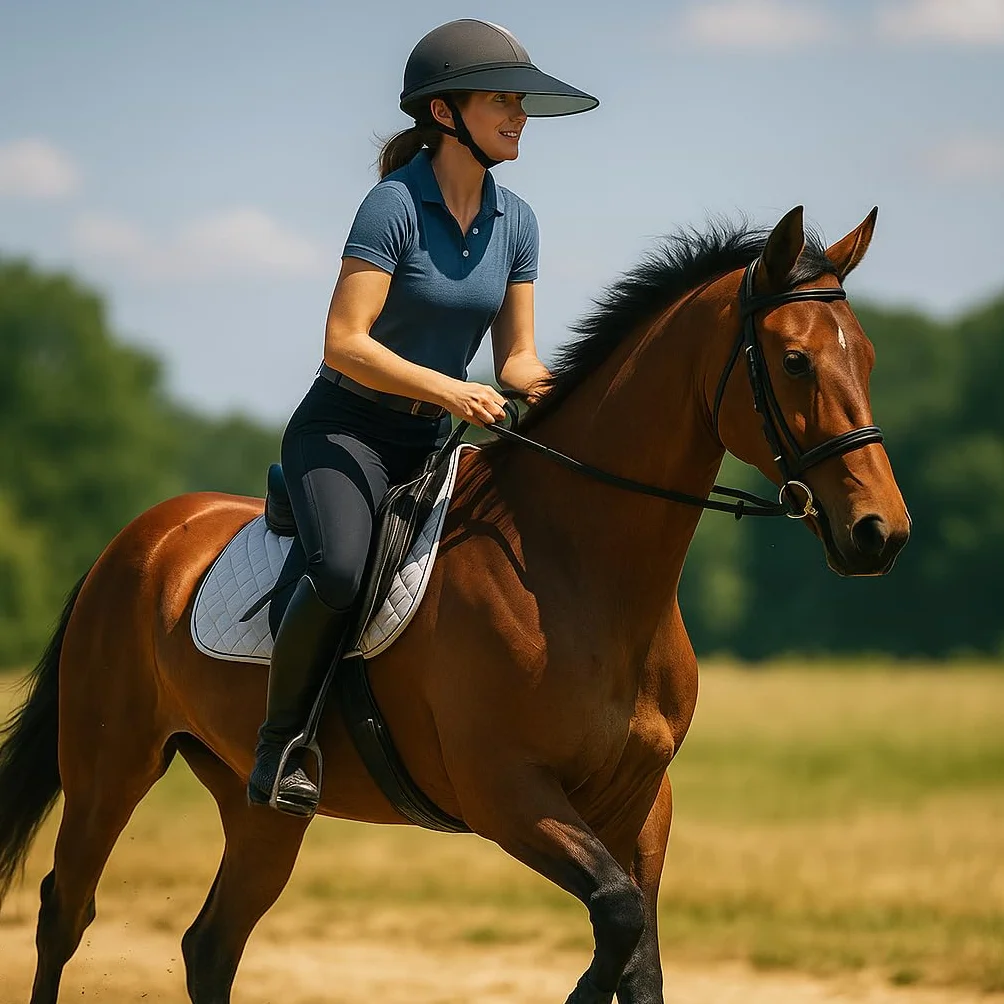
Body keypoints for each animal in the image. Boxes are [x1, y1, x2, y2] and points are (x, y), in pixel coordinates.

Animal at [0, 206, 910, 1004]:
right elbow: (617, 922)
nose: (881, 533)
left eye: (868, 358)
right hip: (109, 767)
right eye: (794, 361)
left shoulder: (642, 803)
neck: (578, 567)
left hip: (257, 809)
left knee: (210, 945)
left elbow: (638, 955)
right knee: (64, 912)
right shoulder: (506, 793)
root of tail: (143, 537)